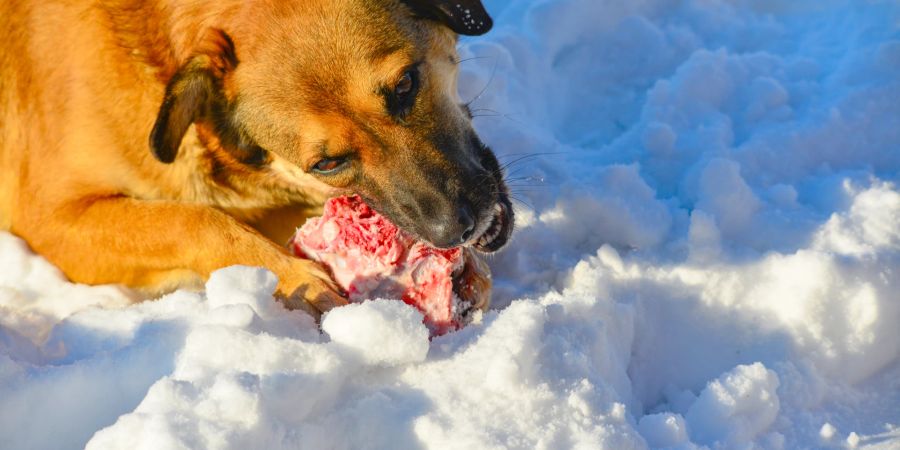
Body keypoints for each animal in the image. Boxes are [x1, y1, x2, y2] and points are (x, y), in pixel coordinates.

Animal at [0, 0, 512, 316]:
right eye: (327, 163)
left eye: (405, 85)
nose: (458, 228)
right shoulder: (51, 219)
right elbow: (192, 220)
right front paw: (296, 279)